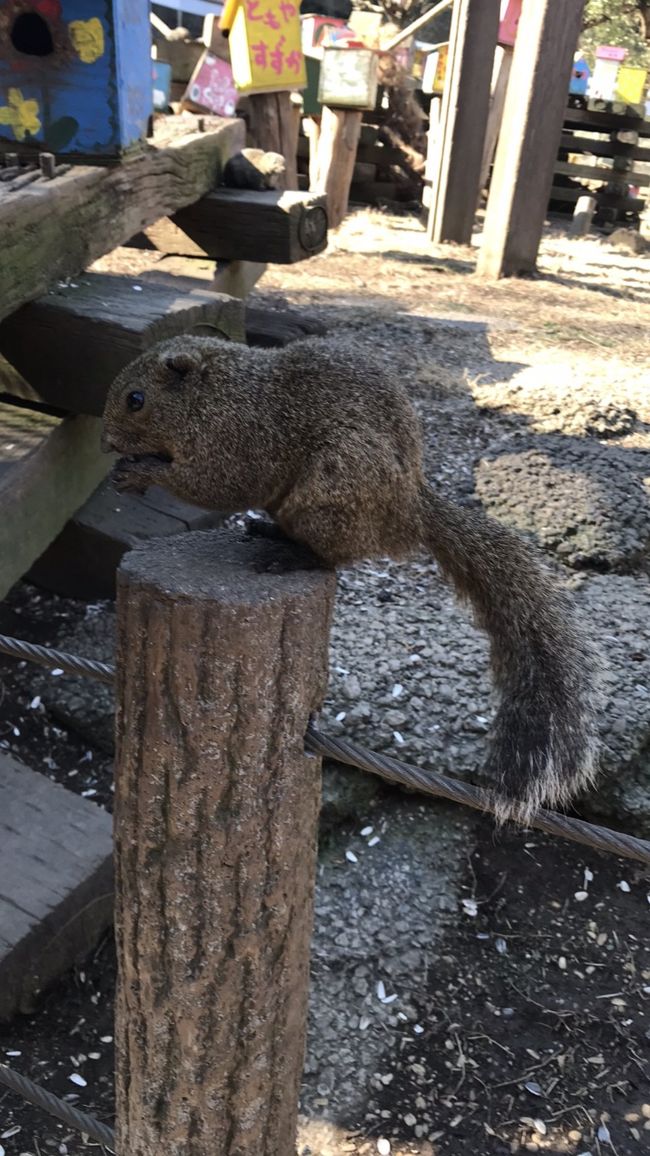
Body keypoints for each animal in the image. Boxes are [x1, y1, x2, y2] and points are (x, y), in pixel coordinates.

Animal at [101, 335, 601, 823]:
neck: (214, 394)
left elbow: (217, 485)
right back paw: (271, 532)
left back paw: (288, 553)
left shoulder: (238, 441)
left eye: (136, 399)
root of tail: (410, 512)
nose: (106, 442)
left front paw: (140, 471)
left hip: (334, 489)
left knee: (331, 558)